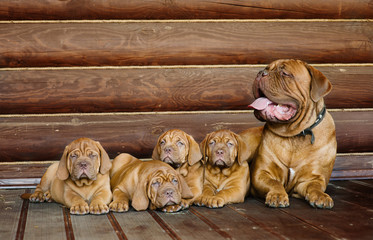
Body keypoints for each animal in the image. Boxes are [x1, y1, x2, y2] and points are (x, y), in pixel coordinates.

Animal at [248, 59, 336, 208]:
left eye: (285, 73)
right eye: (267, 68)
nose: (261, 73)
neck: (295, 134)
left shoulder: (311, 178)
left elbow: (315, 186)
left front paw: (321, 196)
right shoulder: (261, 173)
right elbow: (274, 182)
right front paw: (277, 195)